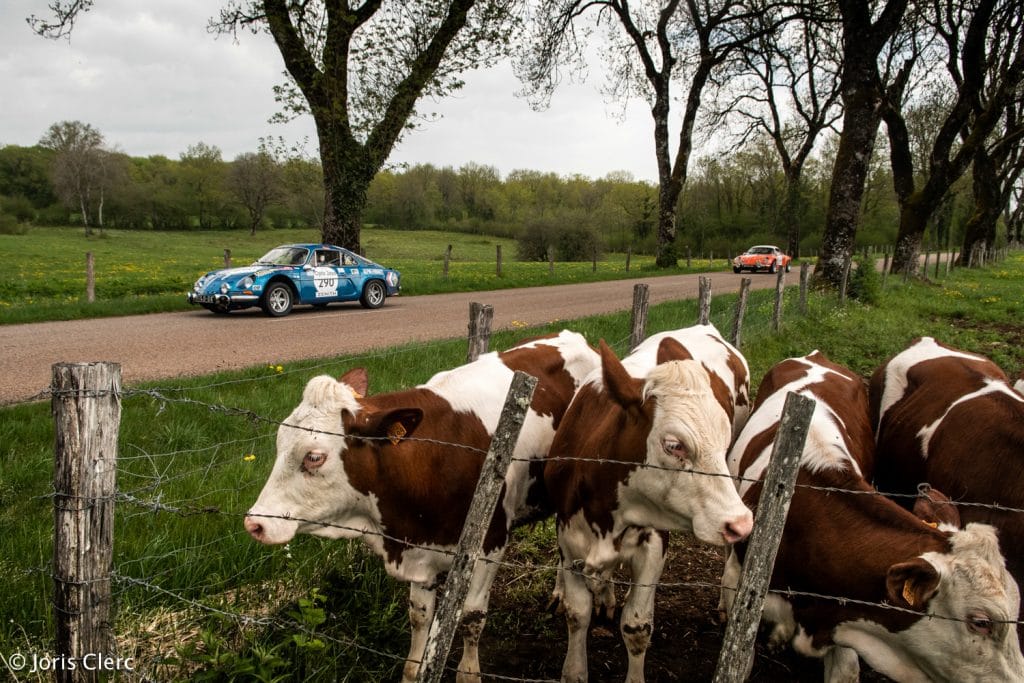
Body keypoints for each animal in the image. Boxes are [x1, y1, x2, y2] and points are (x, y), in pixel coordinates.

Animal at [241, 331, 598, 683]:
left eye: (314, 457)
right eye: (280, 442)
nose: (254, 523)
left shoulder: (490, 544)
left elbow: (471, 617)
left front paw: (469, 673)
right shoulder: (419, 547)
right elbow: (419, 616)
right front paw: (413, 670)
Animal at [544, 325, 753, 683]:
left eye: (724, 440)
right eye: (674, 445)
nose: (741, 522)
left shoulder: (654, 544)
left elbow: (637, 625)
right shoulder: (569, 537)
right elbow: (577, 613)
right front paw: (575, 668)